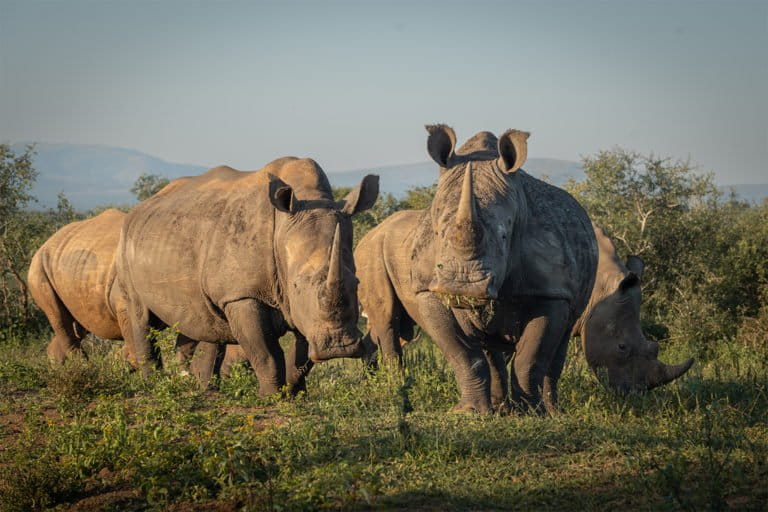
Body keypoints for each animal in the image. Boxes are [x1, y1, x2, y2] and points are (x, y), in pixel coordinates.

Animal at [115, 157, 378, 396]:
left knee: (204, 321)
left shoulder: (304, 312)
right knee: (141, 317)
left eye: (356, 283)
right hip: (126, 246)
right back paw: (154, 386)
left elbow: (302, 358)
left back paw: (204, 389)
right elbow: (266, 354)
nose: (339, 347)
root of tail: (139, 209)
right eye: (296, 285)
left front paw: (295, 395)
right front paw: (271, 397)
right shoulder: (242, 295)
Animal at [355, 125, 598, 413]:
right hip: (372, 252)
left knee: (563, 334)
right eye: (438, 233)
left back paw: (548, 410)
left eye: (504, 237)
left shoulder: (551, 290)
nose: (462, 286)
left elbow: (530, 357)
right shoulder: (428, 288)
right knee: (388, 320)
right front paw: (469, 412)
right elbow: (462, 354)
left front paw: (531, 413)